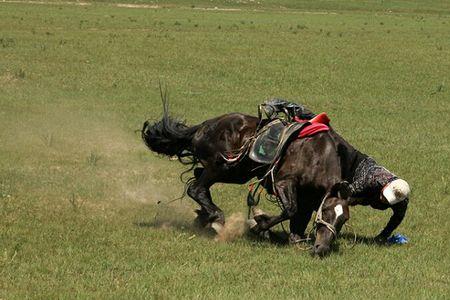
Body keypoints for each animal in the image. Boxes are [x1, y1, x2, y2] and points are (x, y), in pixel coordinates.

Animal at [142, 99, 410, 256]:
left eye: (343, 220)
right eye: (326, 214)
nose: (321, 250)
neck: (318, 155)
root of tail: (203, 126)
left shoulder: (310, 196)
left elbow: (298, 220)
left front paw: (295, 239)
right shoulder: (284, 183)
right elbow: (289, 210)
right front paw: (257, 224)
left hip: (236, 173)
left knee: (198, 181)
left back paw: (204, 216)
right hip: (221, 167)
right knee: (196, 188)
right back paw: (216, 219)